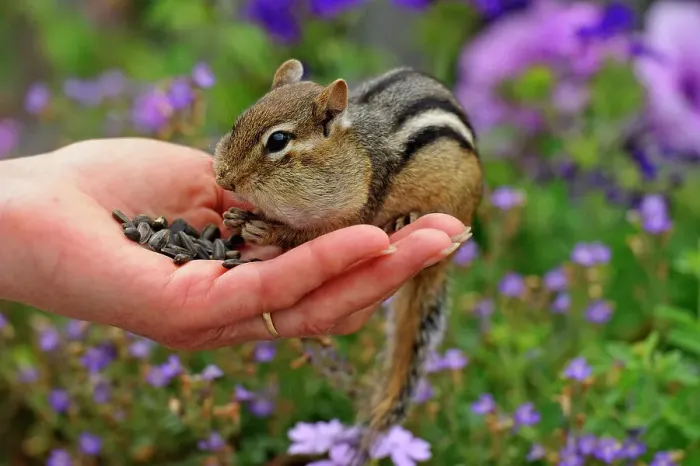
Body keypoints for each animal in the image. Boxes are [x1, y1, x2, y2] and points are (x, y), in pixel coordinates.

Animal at [213, 59, 483, 464]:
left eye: (278, 140)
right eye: (237, 122)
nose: (222, 178)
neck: (352, 151)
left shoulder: (357, 211)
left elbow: (312, 233)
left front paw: (264, 229)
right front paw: (236, 217)